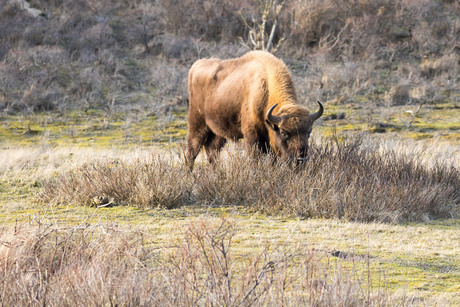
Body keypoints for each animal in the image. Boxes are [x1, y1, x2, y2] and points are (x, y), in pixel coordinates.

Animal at [185, 51, 322, 171]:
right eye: (283, 133)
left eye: (309, 132)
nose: (301, 158)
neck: (266, 89)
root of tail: (196, 66)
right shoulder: (252, 136)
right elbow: (255, 158)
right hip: (197, 124)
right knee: (192, 151)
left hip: (217, 132)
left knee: (212, 150)